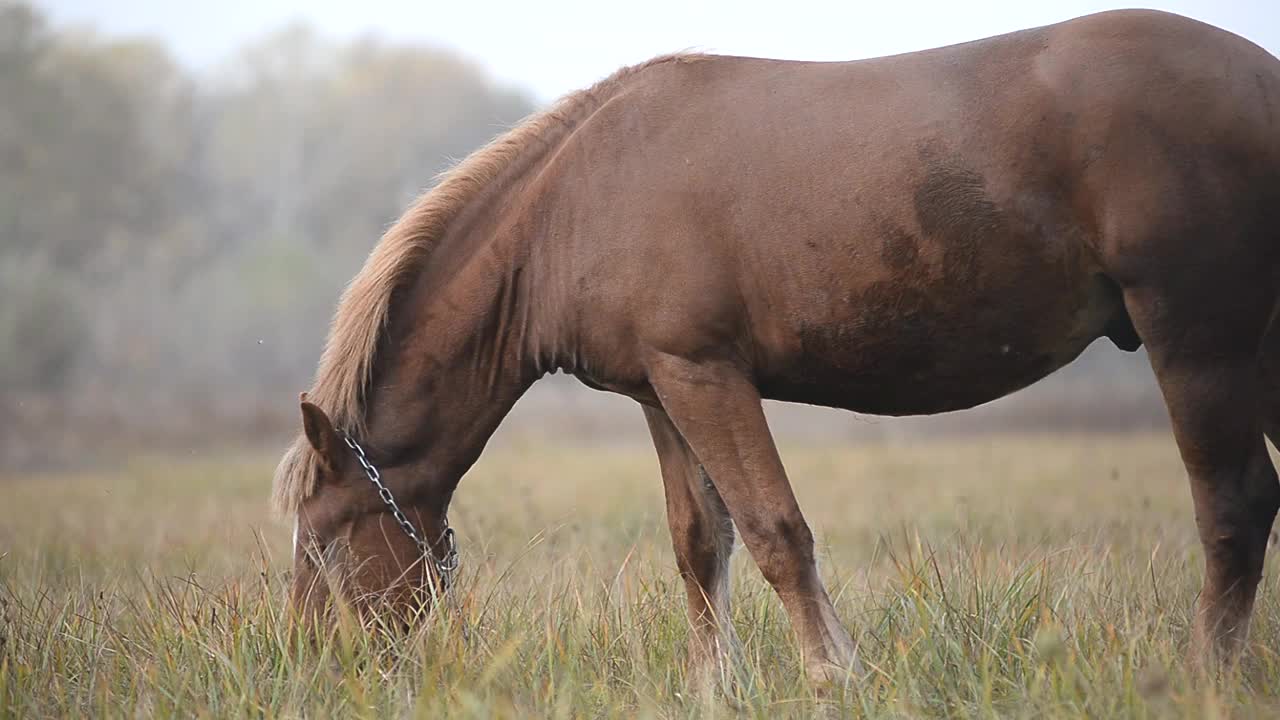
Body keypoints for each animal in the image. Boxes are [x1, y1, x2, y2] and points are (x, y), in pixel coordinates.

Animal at [275, 9, 1280, 681]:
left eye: (323, 539)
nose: (314, 664)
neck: (570, 208)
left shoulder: (707, 376)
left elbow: (774, 533)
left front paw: (835, 677)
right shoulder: (664, 388)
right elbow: (700, 544)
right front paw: (714, 689)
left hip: (1198, 338)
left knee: (1234, 507)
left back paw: (1206, 679)